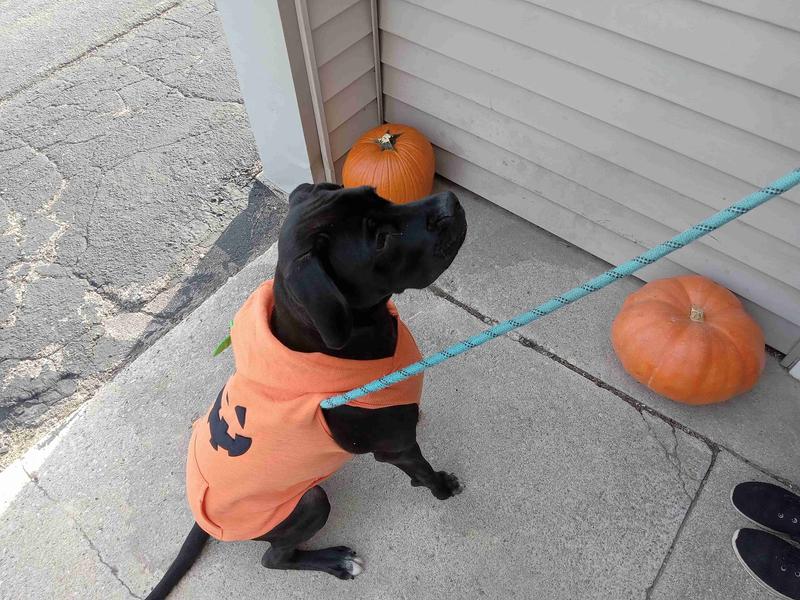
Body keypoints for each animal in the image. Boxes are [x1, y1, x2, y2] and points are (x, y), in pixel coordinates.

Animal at [147, 184, 466, 600]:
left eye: (377, 195)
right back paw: (336, 561)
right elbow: (424, 471)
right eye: (380, 240)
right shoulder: (397, 447)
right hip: (309, 504)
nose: (451, 202)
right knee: (274, 558)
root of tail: (203, 518)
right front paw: (442, 487)